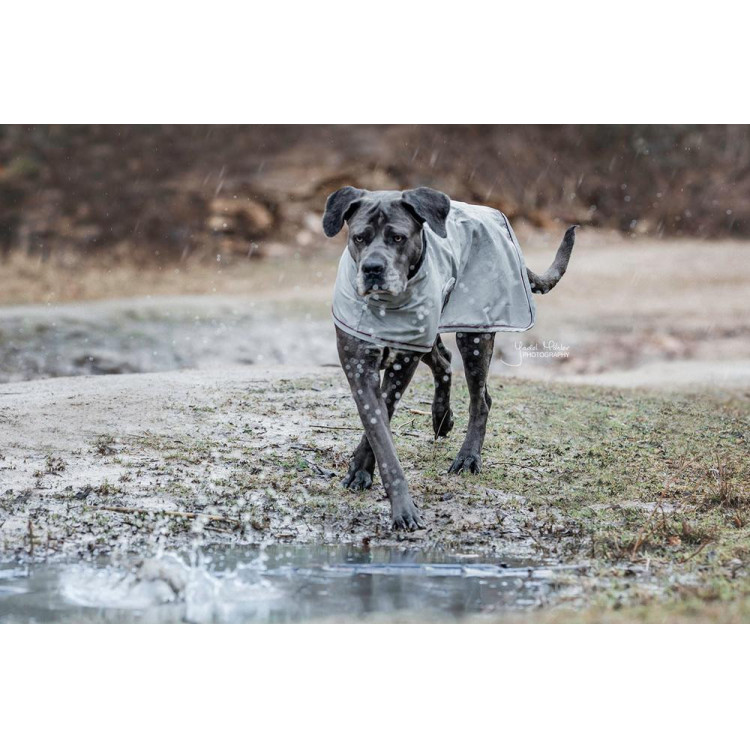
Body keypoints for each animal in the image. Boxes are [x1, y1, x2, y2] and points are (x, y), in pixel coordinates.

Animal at [322, 186, 576, 532]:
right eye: (359, 237)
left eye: (398, 238)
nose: (373, 269)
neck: (383, 307)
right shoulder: (359, 366)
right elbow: (378, 429)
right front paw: (365, 474)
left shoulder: (402, 363)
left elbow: (383, 426)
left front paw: (396, 502)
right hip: (431, 332)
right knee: (442, 360)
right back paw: (441, 416)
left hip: (474, 335)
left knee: (481, 400)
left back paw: (468, 457)